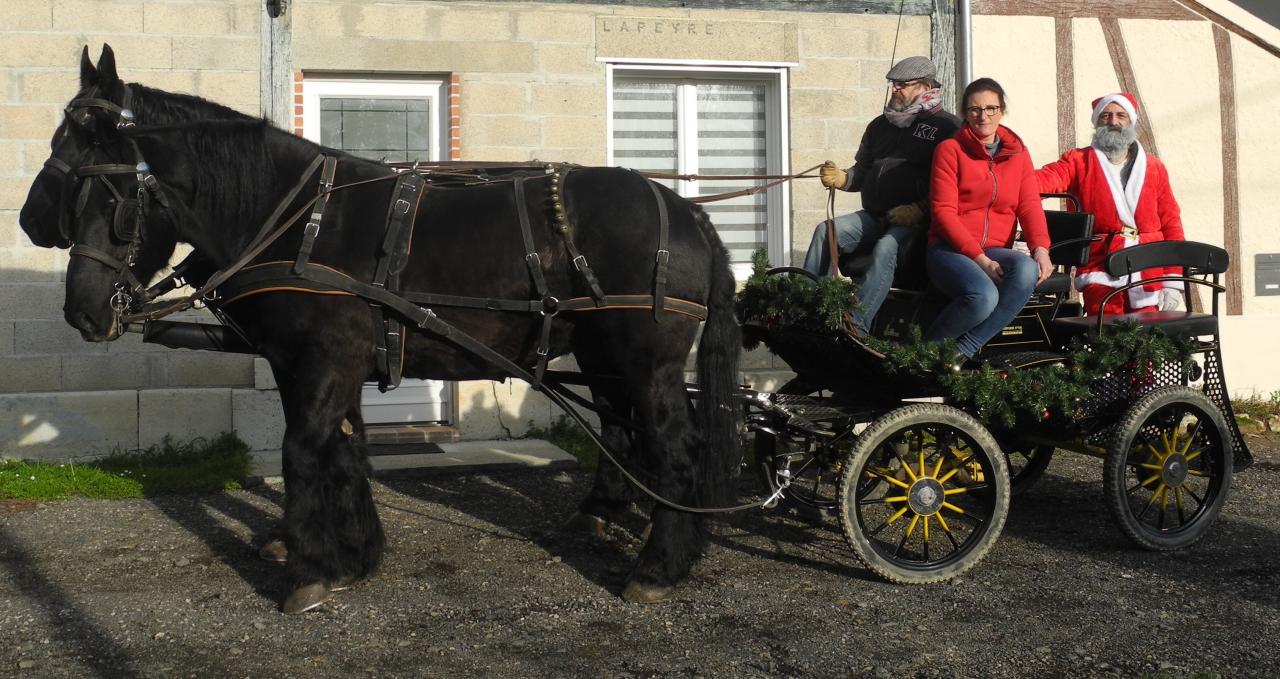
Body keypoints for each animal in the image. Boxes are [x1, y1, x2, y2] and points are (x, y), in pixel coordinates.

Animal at [24, 46, 747, 607]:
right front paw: (356, 554)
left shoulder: (323, 361)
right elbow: (344, 450)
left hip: (646, 364)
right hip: (603, 358)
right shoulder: (318, 364)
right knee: (622, 434)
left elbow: (302, 452)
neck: (299, 222)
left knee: (673, 447)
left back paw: (658, 565)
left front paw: (309, 569)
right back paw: (610, 520)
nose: (83, 310)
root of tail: (686, 209)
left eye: (110, 196)